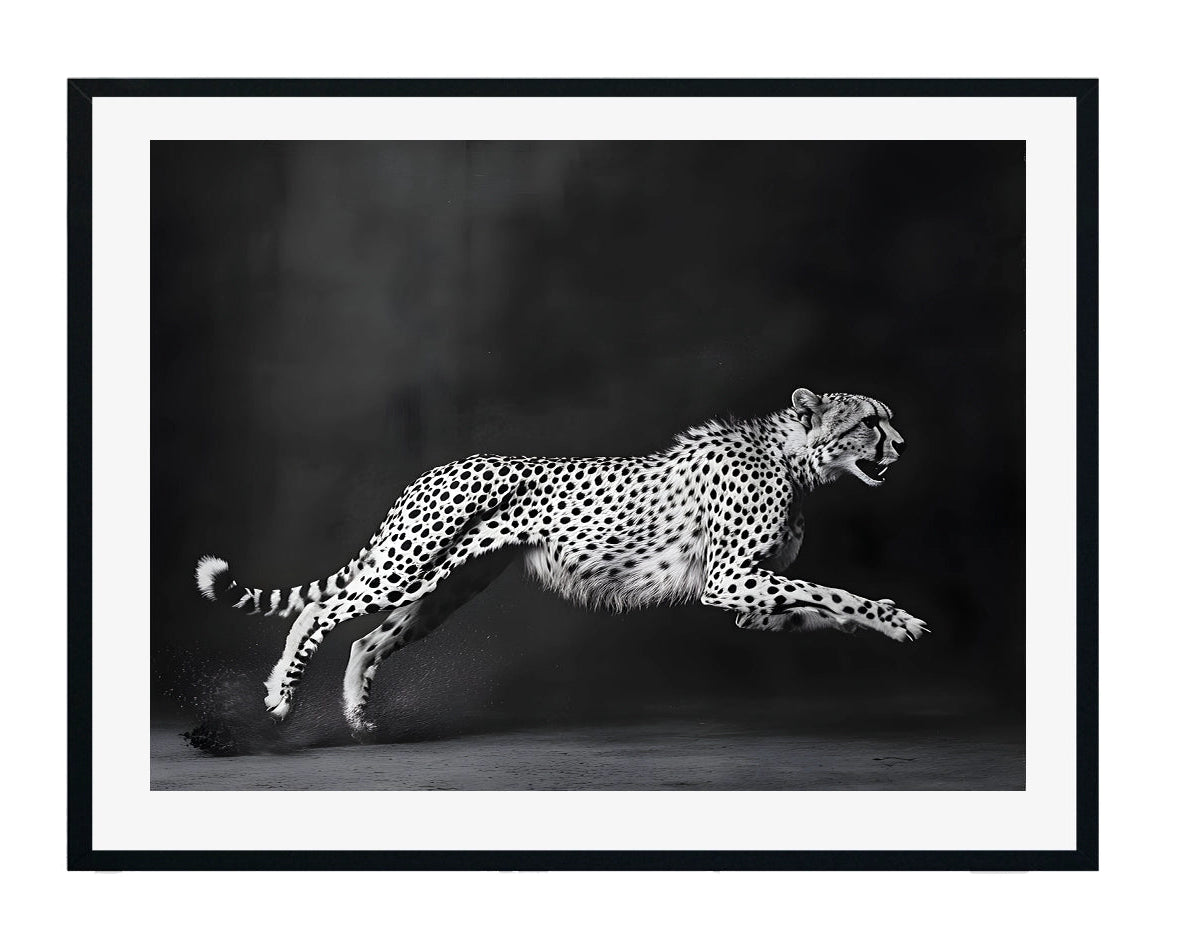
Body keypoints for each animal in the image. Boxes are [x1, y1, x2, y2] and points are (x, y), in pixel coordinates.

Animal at [195, 388, 927, 737]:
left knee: (367, 640)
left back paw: (356, 719)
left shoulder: (747, 595)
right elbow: (829, 591)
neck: (792, 458)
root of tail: (436, 468)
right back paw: (280, 697)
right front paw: (893, 617)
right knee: (319, 612)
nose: (901, 446)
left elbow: (812, 603)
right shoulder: (729, 579)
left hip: (446, 589)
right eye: (869, 422)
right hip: (408, 565)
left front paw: (880, 622)